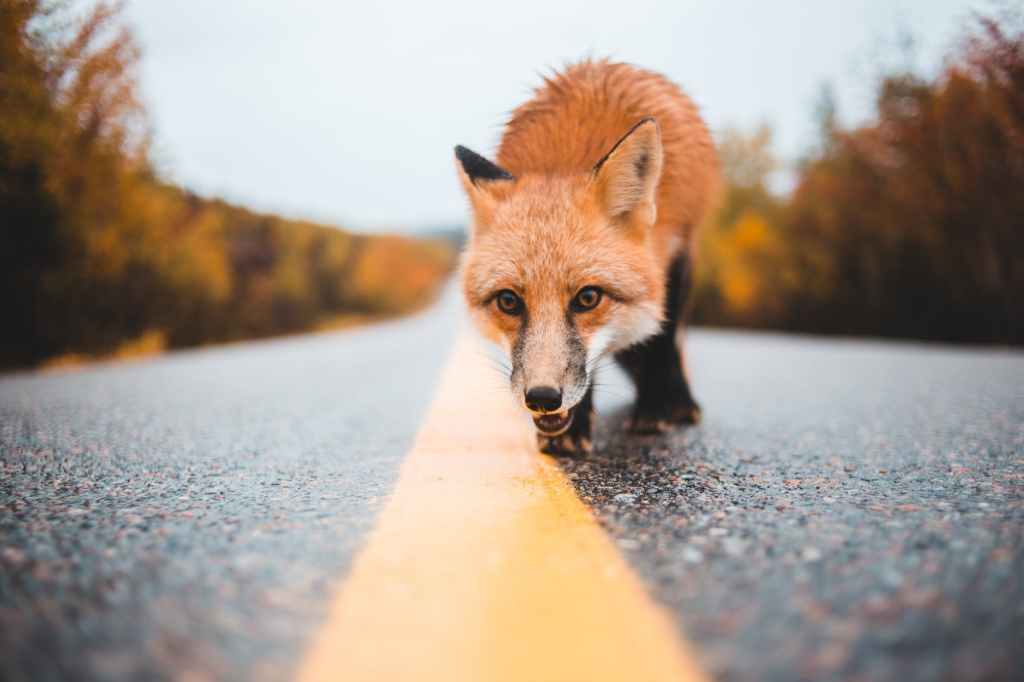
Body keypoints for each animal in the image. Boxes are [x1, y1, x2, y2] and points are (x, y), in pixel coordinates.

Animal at [454, 59, 719, 456]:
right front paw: (573, 427)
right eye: (508, 301)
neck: (563, 160)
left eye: (588, 298)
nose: (543, 398)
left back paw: (678, 402)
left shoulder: (675, 254)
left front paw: (655, 409)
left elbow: (661, 339)